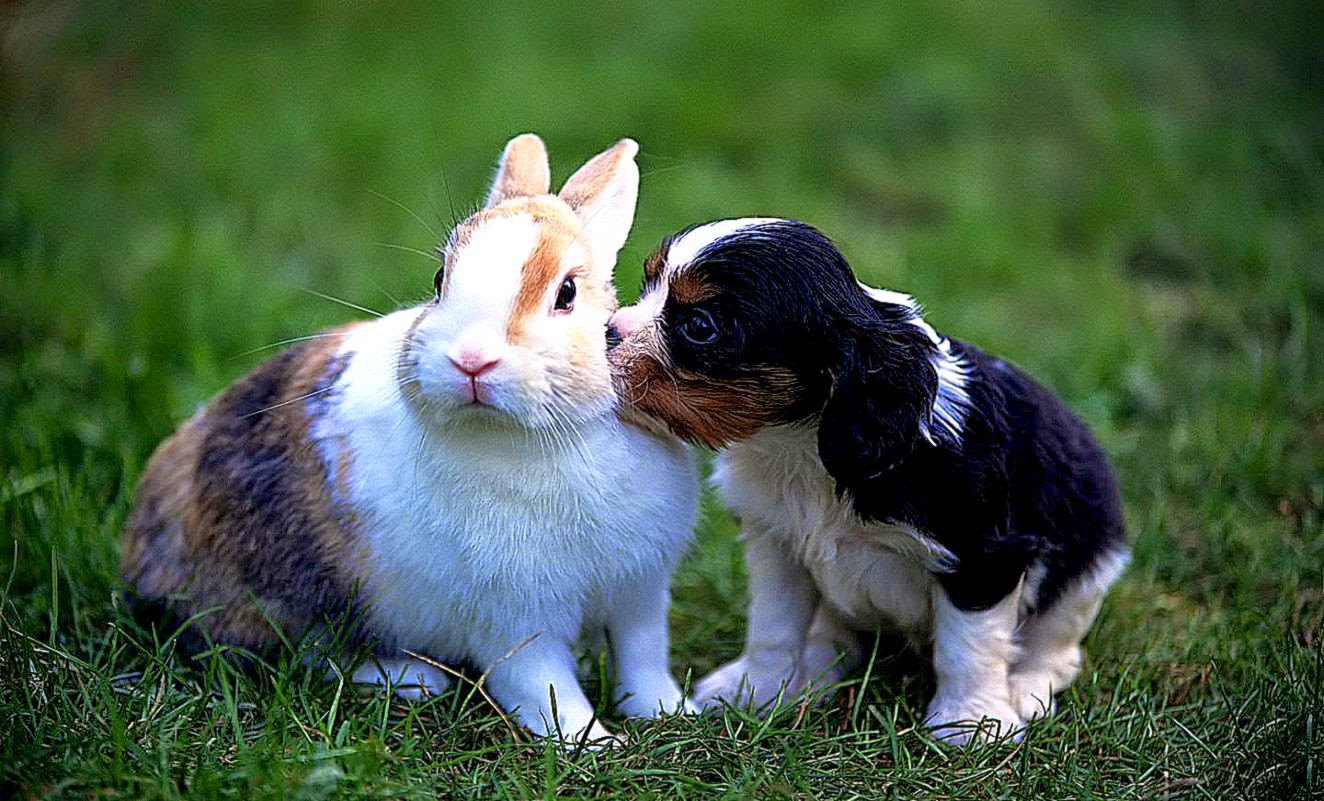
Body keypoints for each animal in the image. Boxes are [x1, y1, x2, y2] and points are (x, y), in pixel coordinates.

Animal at [122, 134, 699, 744]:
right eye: (440, 281)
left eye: (567, 292)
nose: (471, 360)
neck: (544, 434)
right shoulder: (512, 619)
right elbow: (545, 687)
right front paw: (593, 742)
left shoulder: (640, 594)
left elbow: (643, 660)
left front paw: (674, 712)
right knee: (304, 653)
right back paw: (413, 679)